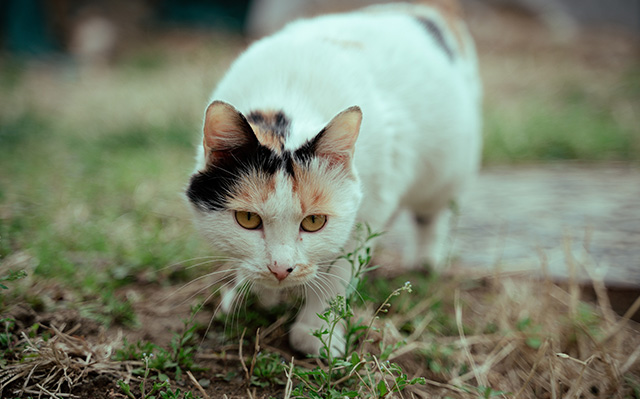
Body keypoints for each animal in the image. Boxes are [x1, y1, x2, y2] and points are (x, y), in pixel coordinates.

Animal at [185, 1, 480, 354]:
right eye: (247, 219)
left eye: (314, 222)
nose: (280, 269)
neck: (289, 96)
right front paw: (256, 294)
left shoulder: (365, 215)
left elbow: (336, 276)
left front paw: (315, 334)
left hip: (445, 170)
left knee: (431, 215)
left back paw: (425, 263)